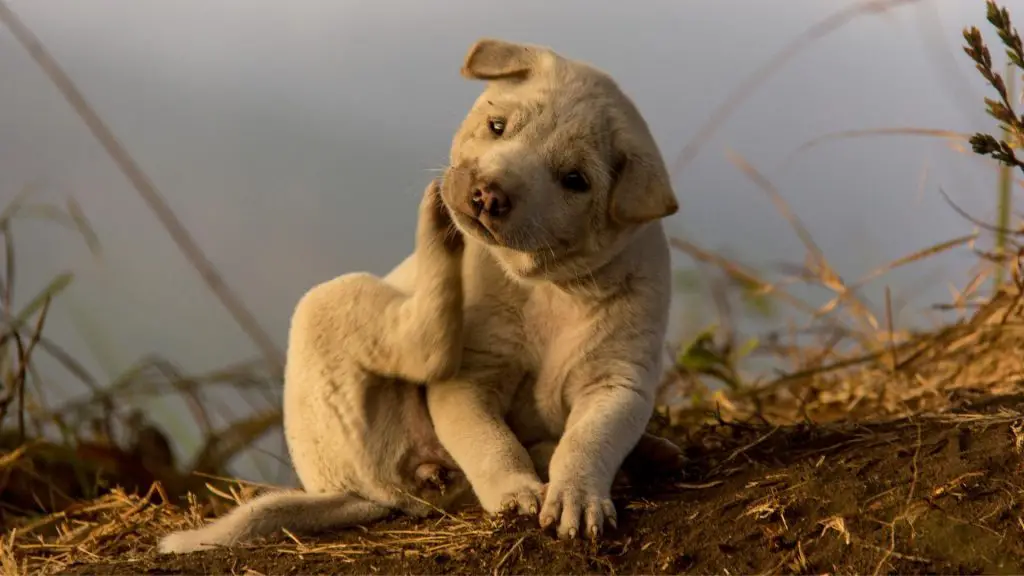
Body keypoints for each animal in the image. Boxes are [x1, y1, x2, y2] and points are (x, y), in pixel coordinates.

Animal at [157, 38, 679, 553]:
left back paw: (645, 456)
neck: (547, 286)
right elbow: (491, 442)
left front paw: (576, 498)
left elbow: (589, 440)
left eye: (575, 180)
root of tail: (357, 496)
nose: (486, 195)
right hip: (332, 306)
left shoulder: (617, 382)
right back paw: (436, 229)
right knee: (421, 346)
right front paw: (516, 493)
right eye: (497, 126)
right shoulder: (468, 379)